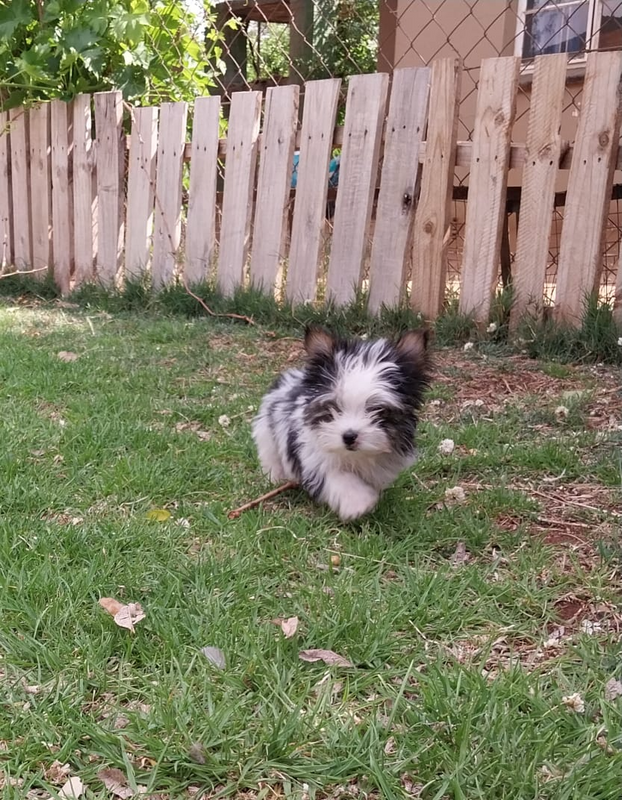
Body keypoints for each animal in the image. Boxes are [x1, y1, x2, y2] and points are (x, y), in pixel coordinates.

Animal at [251, 328, 432, 520]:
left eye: (378, 410)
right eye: (334, 407)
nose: (349, 436)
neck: (355, 456)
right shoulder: (316, 458)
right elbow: (339, 478)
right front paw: (358, 503)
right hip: (267, 433)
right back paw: (276, 478)